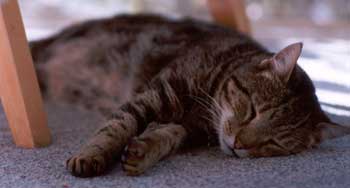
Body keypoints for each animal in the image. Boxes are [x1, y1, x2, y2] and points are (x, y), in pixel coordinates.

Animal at [30, 13, 350, 177]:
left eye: (273, 143)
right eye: (253, 110)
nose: (238, 145)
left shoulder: (189, 128)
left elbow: (167, 136)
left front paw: (143, 153)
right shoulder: (153, 94)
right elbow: (115, 127)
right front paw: (92, 155)